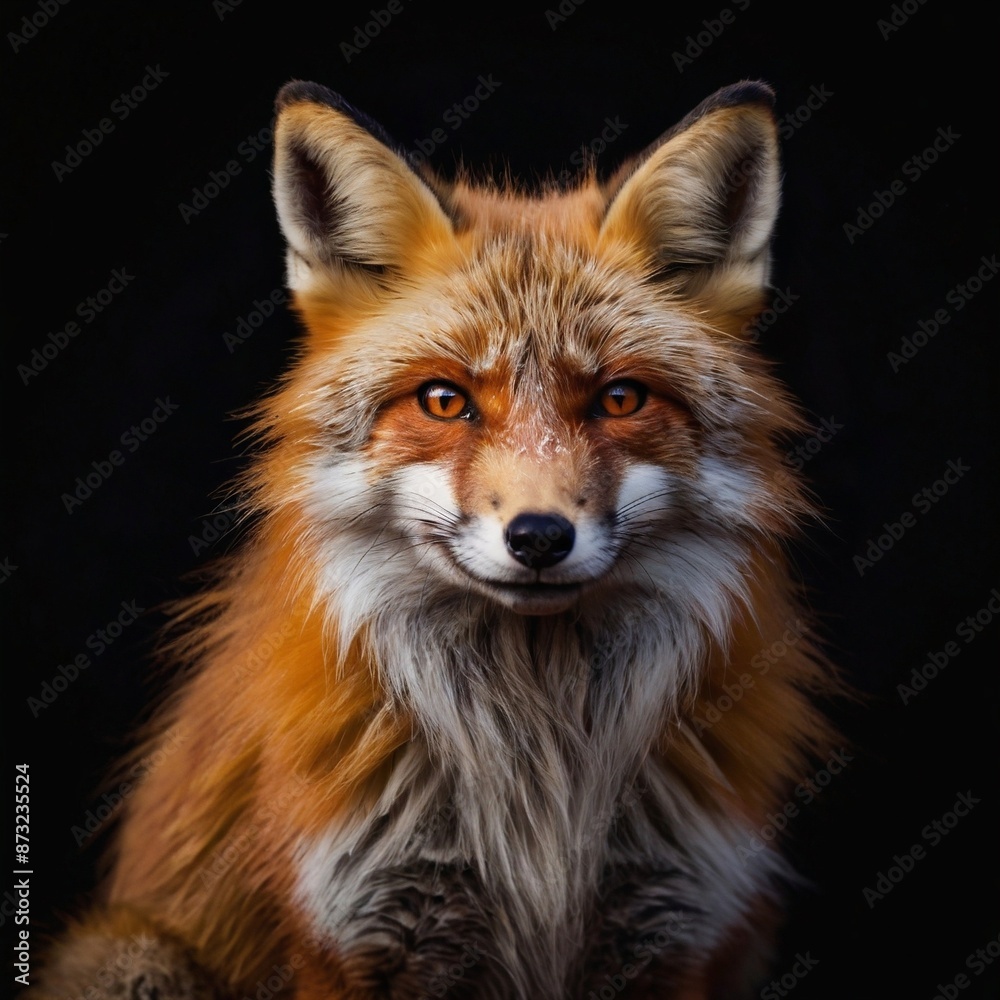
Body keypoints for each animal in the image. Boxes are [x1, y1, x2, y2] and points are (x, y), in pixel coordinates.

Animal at [31, 80, 840, 999]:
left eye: (621, 399)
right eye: (445, 401)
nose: (538, 536)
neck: (540, 788)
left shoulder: (671, 929)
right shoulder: (358, 934)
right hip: (135, 954)